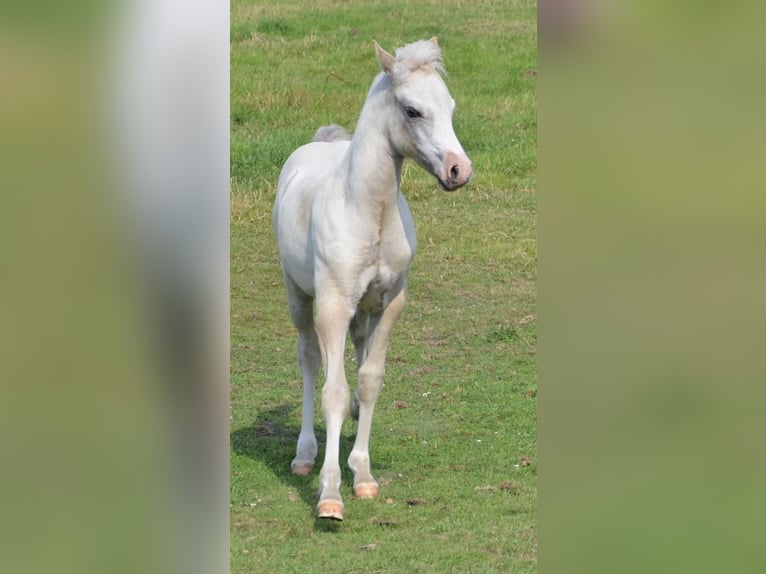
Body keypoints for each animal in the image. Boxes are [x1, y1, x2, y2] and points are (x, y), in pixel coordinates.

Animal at [272, 38, 472, 520]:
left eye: (450, 107)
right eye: (413, 110)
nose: (459, 170)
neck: (368, 211)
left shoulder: (390, 302)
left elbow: (368, 380)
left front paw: (362, 474)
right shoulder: (332, 304)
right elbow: (333, 388)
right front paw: (330, 495)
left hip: (364, 308)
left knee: (359, 351)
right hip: (299, 296)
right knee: (309, 359)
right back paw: (305, 454)